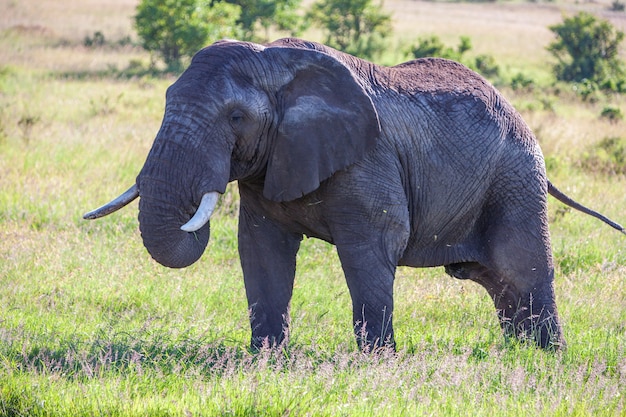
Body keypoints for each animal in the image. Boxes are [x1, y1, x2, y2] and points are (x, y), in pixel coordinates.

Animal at [84, 38, 624, 352]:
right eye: (167, 101)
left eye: (235, 117)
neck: (277, 62)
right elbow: (260, 250)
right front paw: (265, 361)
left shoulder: (370, 159)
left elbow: (370, 250)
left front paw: (377, 363)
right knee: (500, 282)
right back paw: (521, 355)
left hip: (516, 179)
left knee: (521, 268)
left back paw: (545, 360)